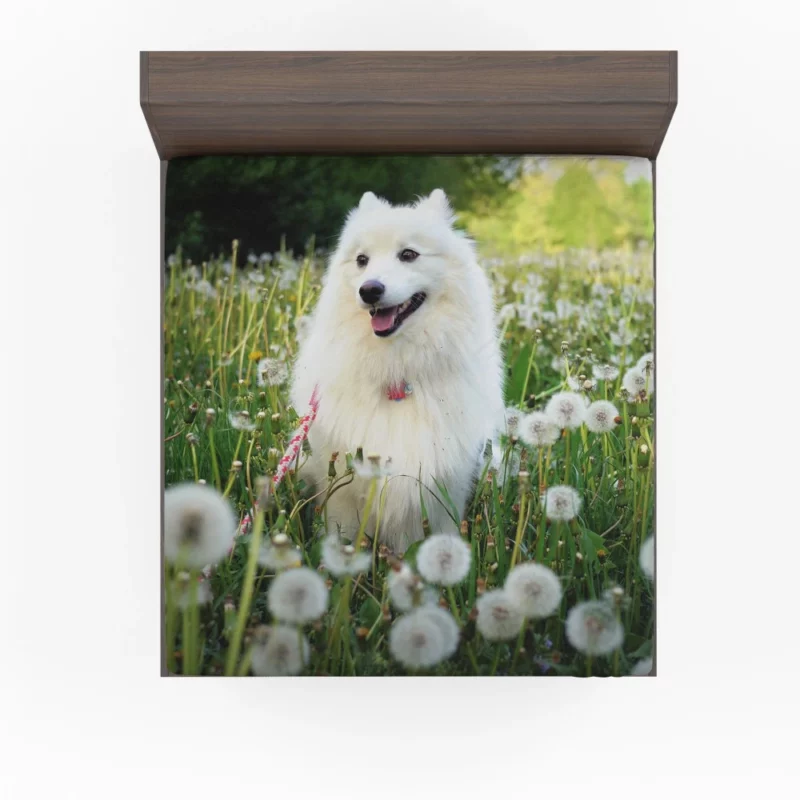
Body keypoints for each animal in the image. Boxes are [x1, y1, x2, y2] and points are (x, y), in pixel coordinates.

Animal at [290, 189, 504, 552]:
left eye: (408, 254)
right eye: (362, 260)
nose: (369, 290)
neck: (397, 371)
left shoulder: (441, 489)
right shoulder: (342, 489)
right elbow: (340, 538)